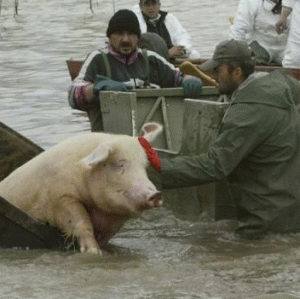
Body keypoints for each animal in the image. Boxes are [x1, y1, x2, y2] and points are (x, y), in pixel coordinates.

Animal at [0, 122, 163, 255]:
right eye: (120, 164)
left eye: (144, 166)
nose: (157, 194)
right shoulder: (61, 198)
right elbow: (82, 223)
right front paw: (93, 252)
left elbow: (106, 234)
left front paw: (103, 250)